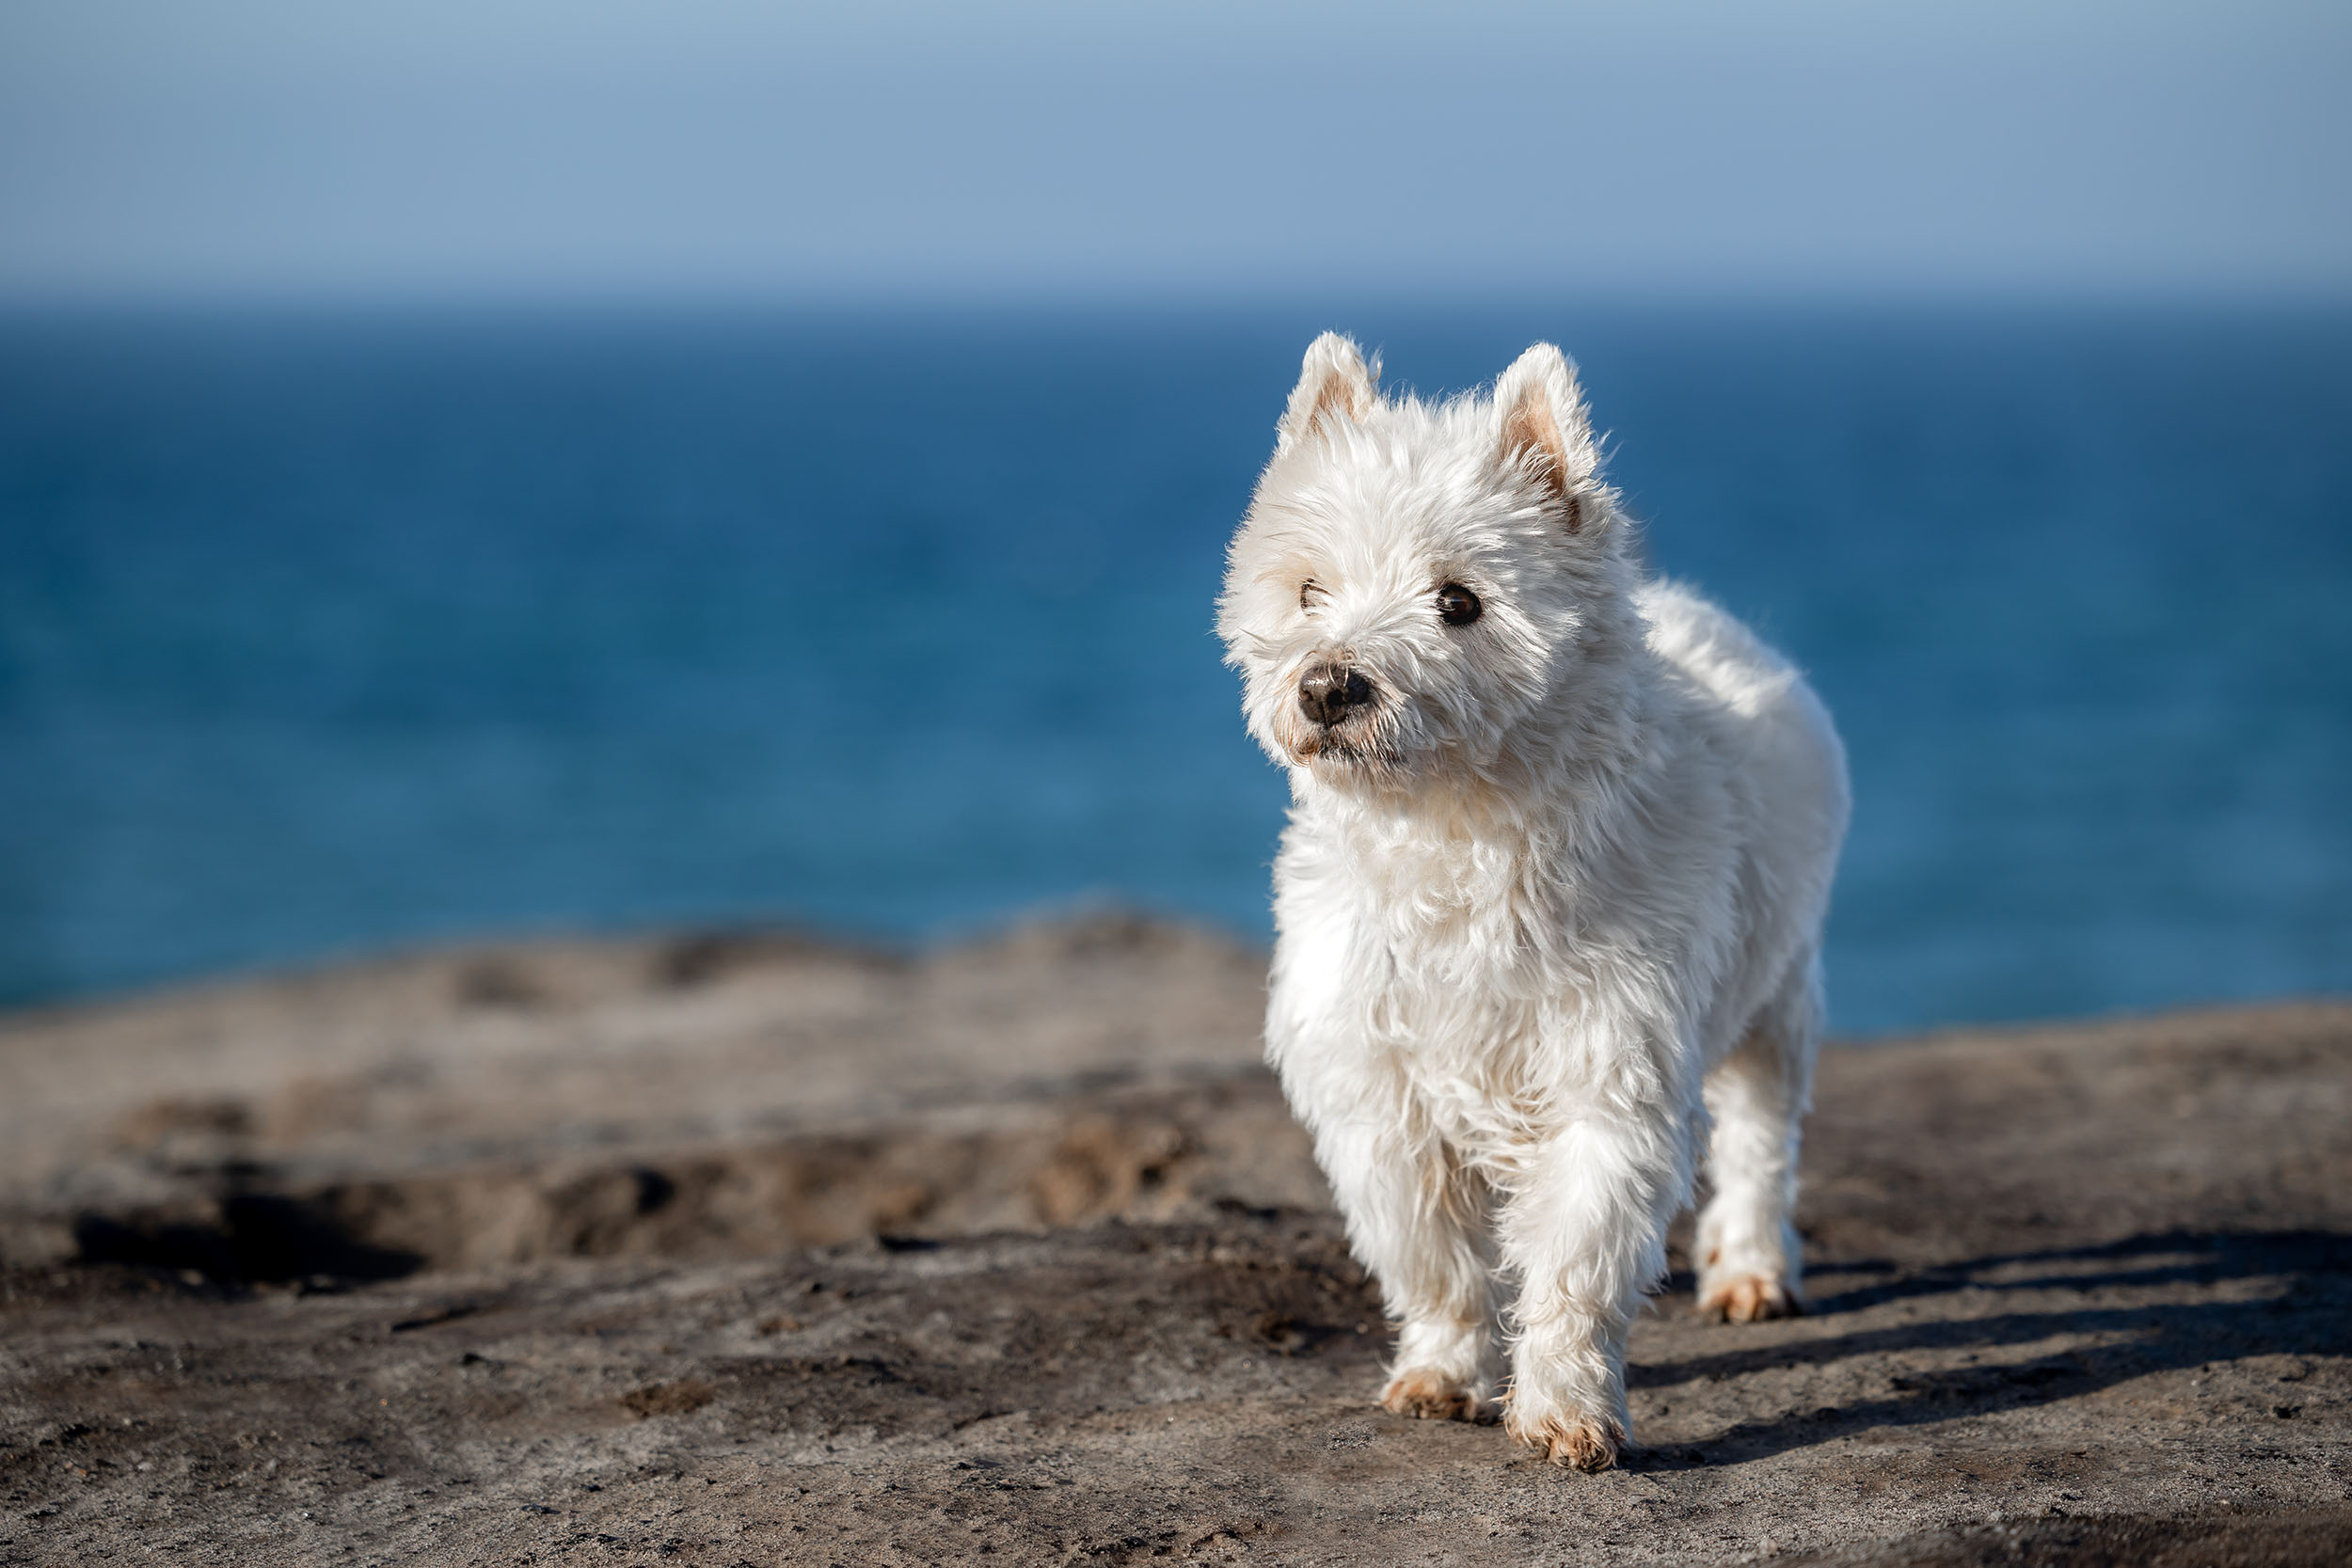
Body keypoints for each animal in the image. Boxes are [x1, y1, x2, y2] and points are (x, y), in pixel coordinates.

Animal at [1223, 333, 1844, 1476]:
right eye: (1310, 588)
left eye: (1459, 601)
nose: (1329, 686)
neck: (1454, 836)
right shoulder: (1380, 1089)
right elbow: (1432, 1254)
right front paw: (1442, 1371)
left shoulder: (1609, 1075)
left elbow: (1575, 1264)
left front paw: (1565, 1409)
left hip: (1778, 992)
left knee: (1758, 1139)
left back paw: (1749, 1268)